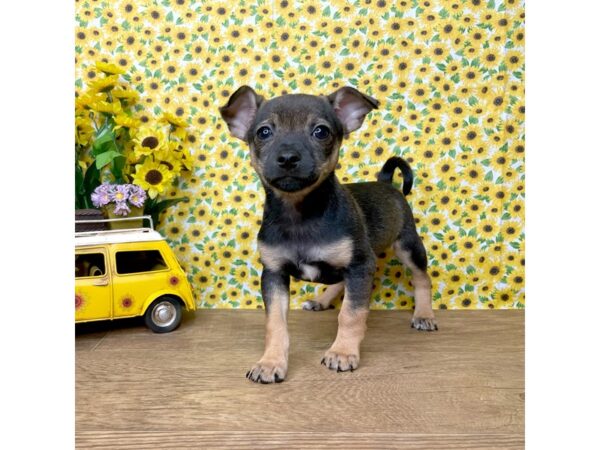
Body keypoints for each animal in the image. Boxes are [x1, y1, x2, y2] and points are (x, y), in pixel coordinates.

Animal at [219, 85, 436, 384]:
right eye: (263, 132)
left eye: (321, 131)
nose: (288, 158)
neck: (299, 214)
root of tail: (385, 183)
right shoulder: (274, 273)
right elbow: (275, 323)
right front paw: (270, 363)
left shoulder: (360, 266)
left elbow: (351, 314)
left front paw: (343, 352)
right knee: (338, 282)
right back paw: (321, 301)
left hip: (408, 247)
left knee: (422, 278)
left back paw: (424, 314)